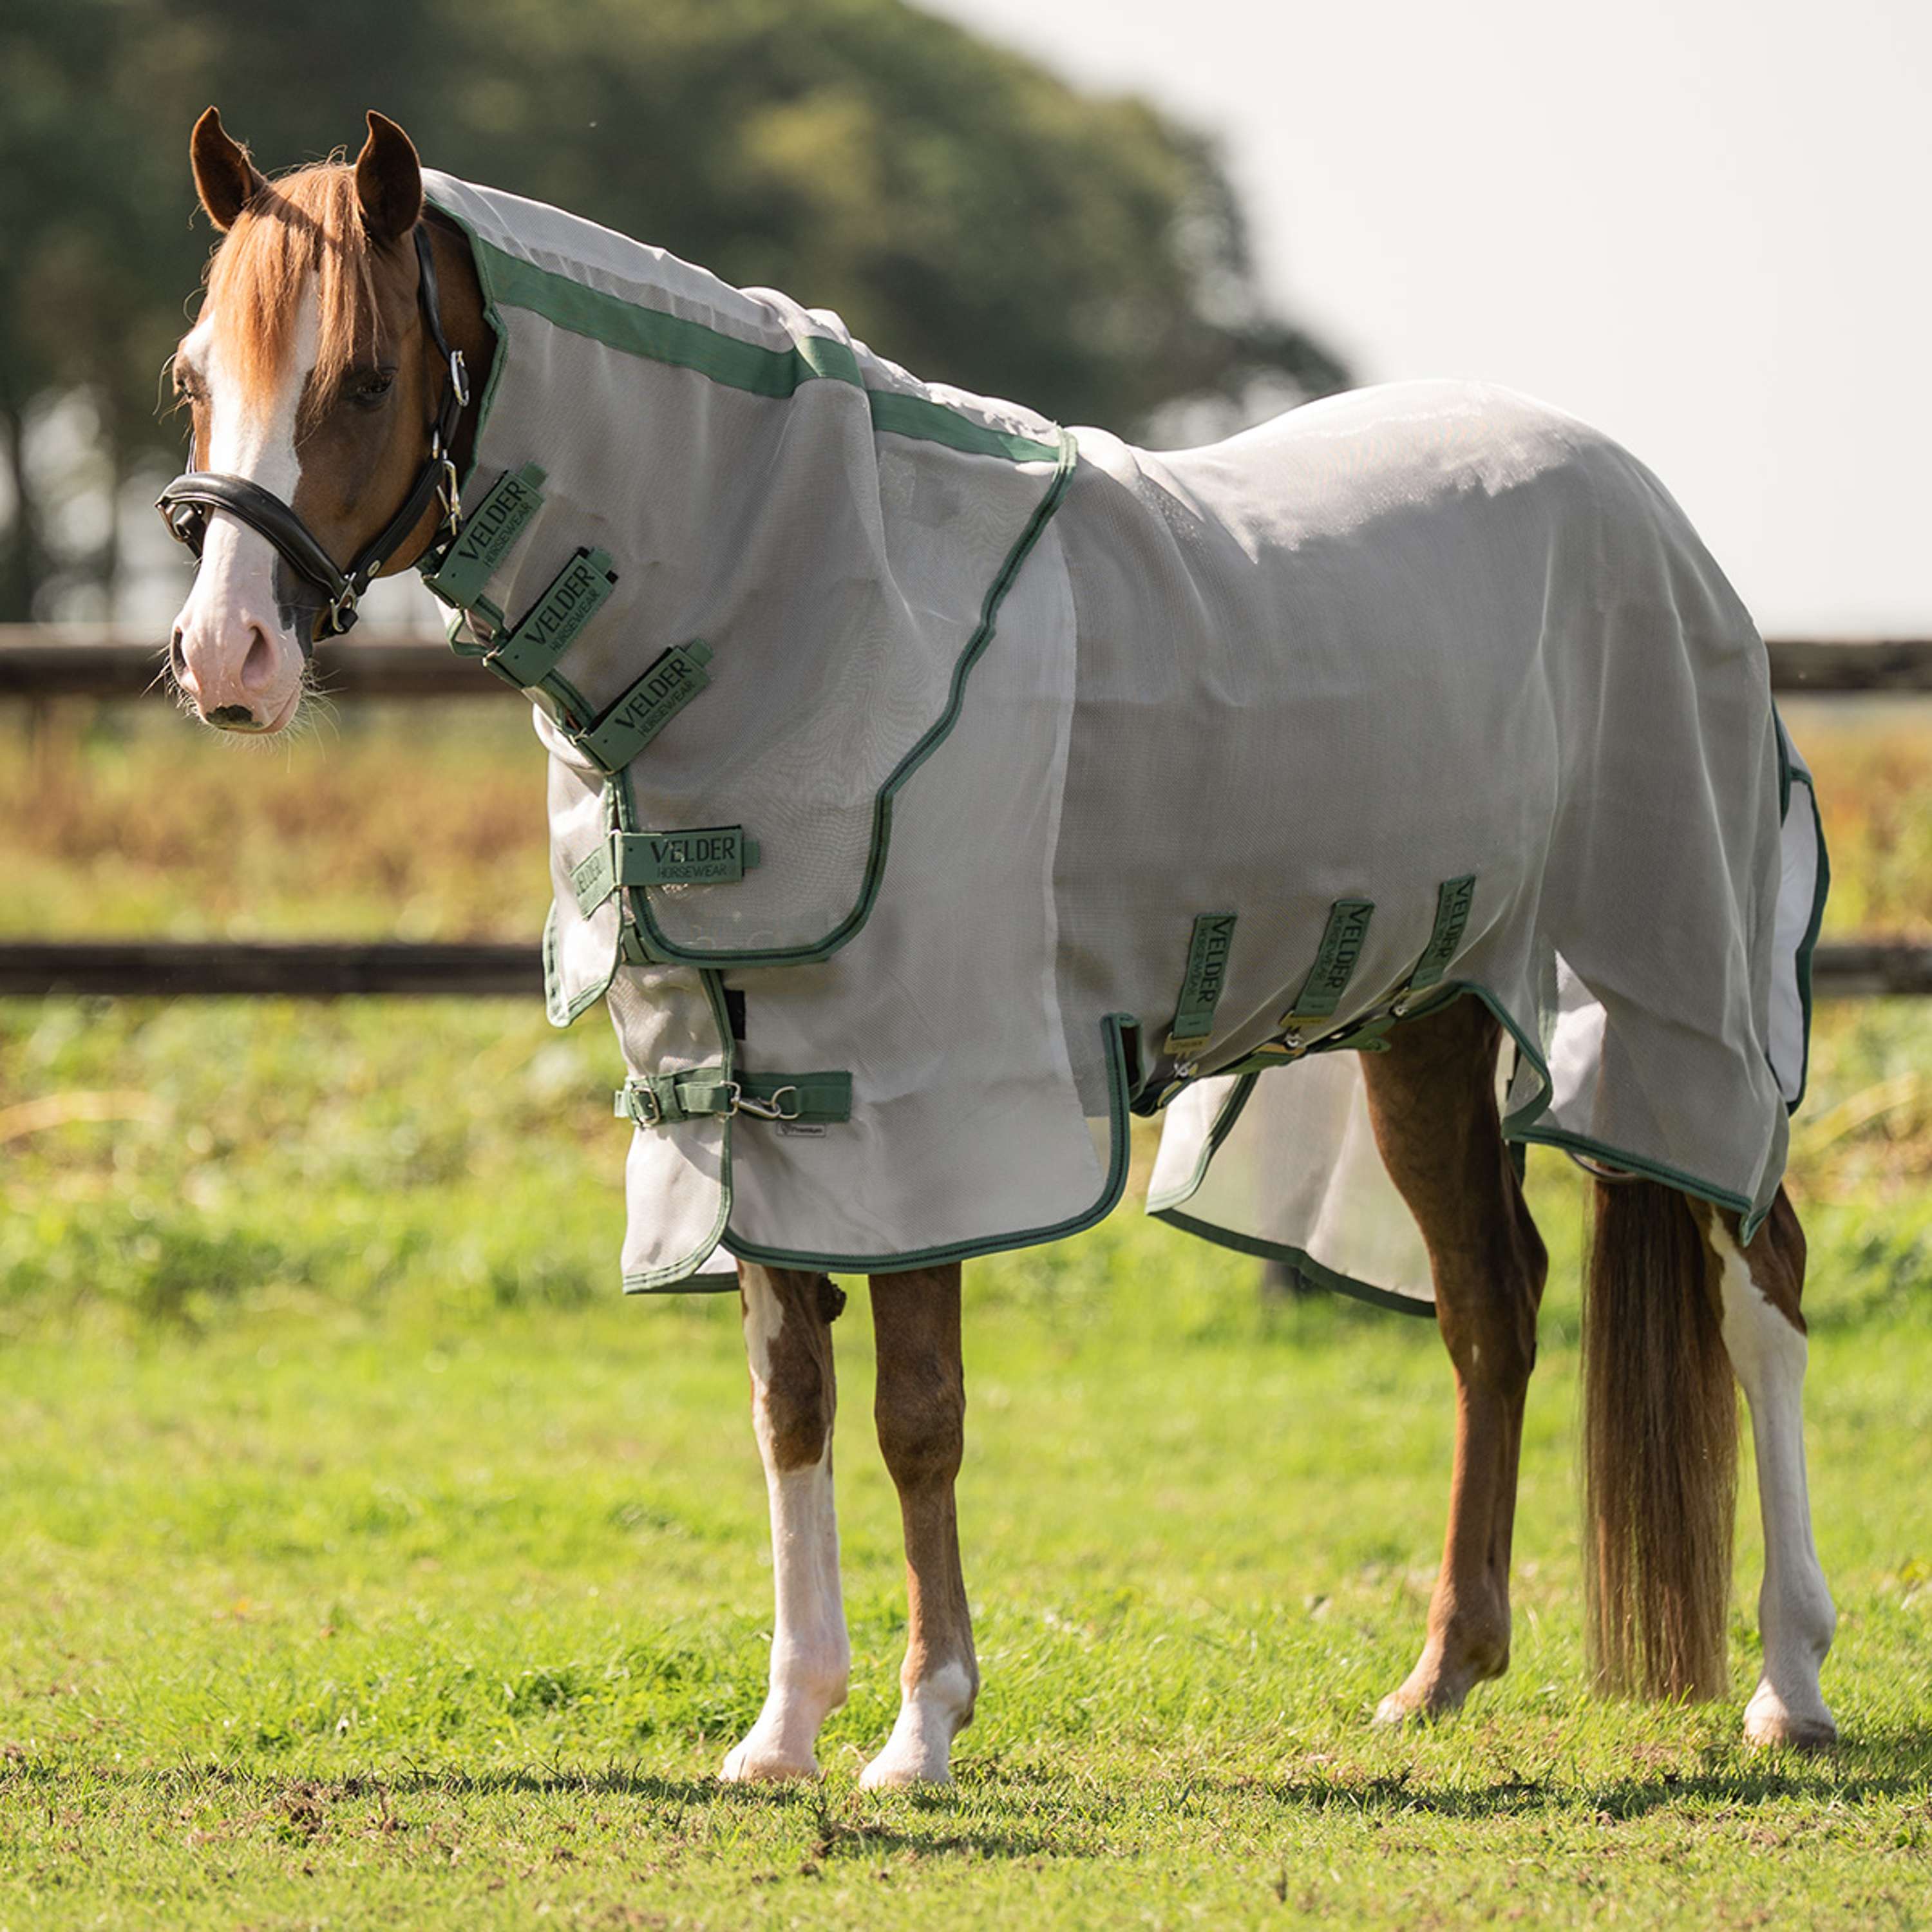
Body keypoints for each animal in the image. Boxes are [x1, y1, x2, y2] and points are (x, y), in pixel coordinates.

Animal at [160, 106, 1837, 1788]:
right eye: (193, 375)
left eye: (368, 376)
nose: (223, 658)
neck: (789, 599)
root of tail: (1652, 520)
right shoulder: (742, 1091)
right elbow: (788, 1399)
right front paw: (783, 1730)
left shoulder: (923, 1102)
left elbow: (916, 1410)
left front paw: (921, 1727)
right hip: (1426, 1021)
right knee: (1493, 1306)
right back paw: (1441, 1673)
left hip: (1667, 998)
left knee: (1758, 1282)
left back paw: (1789, 1683)